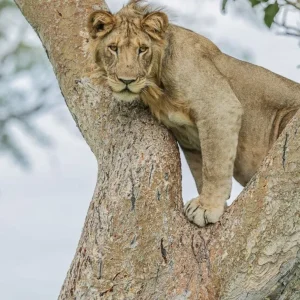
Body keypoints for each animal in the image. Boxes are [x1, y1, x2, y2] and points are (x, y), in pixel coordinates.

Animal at [86, 0, 300, 226]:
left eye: (142, 49)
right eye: (113, 48)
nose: (126, 80)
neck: (156, 87)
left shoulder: (219, 106)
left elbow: (213, 167)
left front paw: (207, 207)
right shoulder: (188, 139)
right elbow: (201, 171)